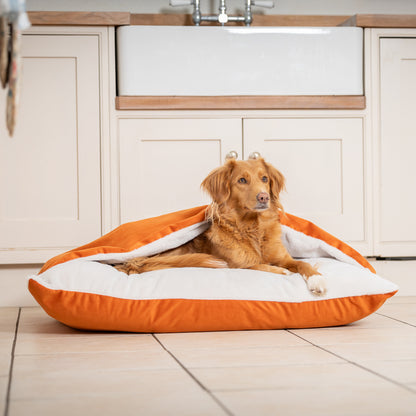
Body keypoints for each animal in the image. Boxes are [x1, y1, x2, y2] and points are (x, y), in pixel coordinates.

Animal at [115, 156, 326, 296]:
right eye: (242, 180)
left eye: (265, 179)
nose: (264, 197)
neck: (253, 228)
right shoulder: (236, 265)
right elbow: (258, 266)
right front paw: (281, 271)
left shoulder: (284, 258)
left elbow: (302, 263)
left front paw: (317, 279)